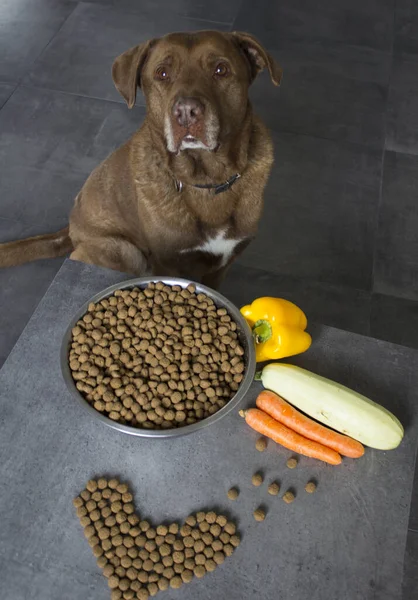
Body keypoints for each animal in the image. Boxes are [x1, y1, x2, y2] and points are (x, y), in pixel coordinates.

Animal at [0, 31, 280, 290]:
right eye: (162, 73)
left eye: (221, 70)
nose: (186, 112)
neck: (207, 180)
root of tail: (69, 229)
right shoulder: (167, 263)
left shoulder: (223, 264)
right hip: (126, 251)